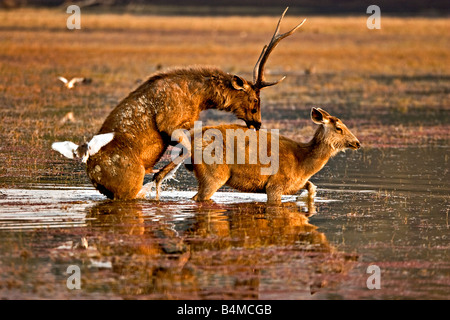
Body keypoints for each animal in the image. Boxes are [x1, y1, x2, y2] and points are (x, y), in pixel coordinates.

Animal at [51, 8, 306, 200]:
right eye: (254, 99)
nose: (258, 123)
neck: (199, 99)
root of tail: (92, 174)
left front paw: (159, 177)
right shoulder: (169, 122)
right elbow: (188, 147)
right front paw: (159, 177)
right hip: (127, 184)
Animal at [185, 107, 360, 202]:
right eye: (339, 128)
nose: (357, 142)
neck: (302, 164)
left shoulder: (295, 183)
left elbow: (311, 187)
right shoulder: (275, 184)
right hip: (214, 173)